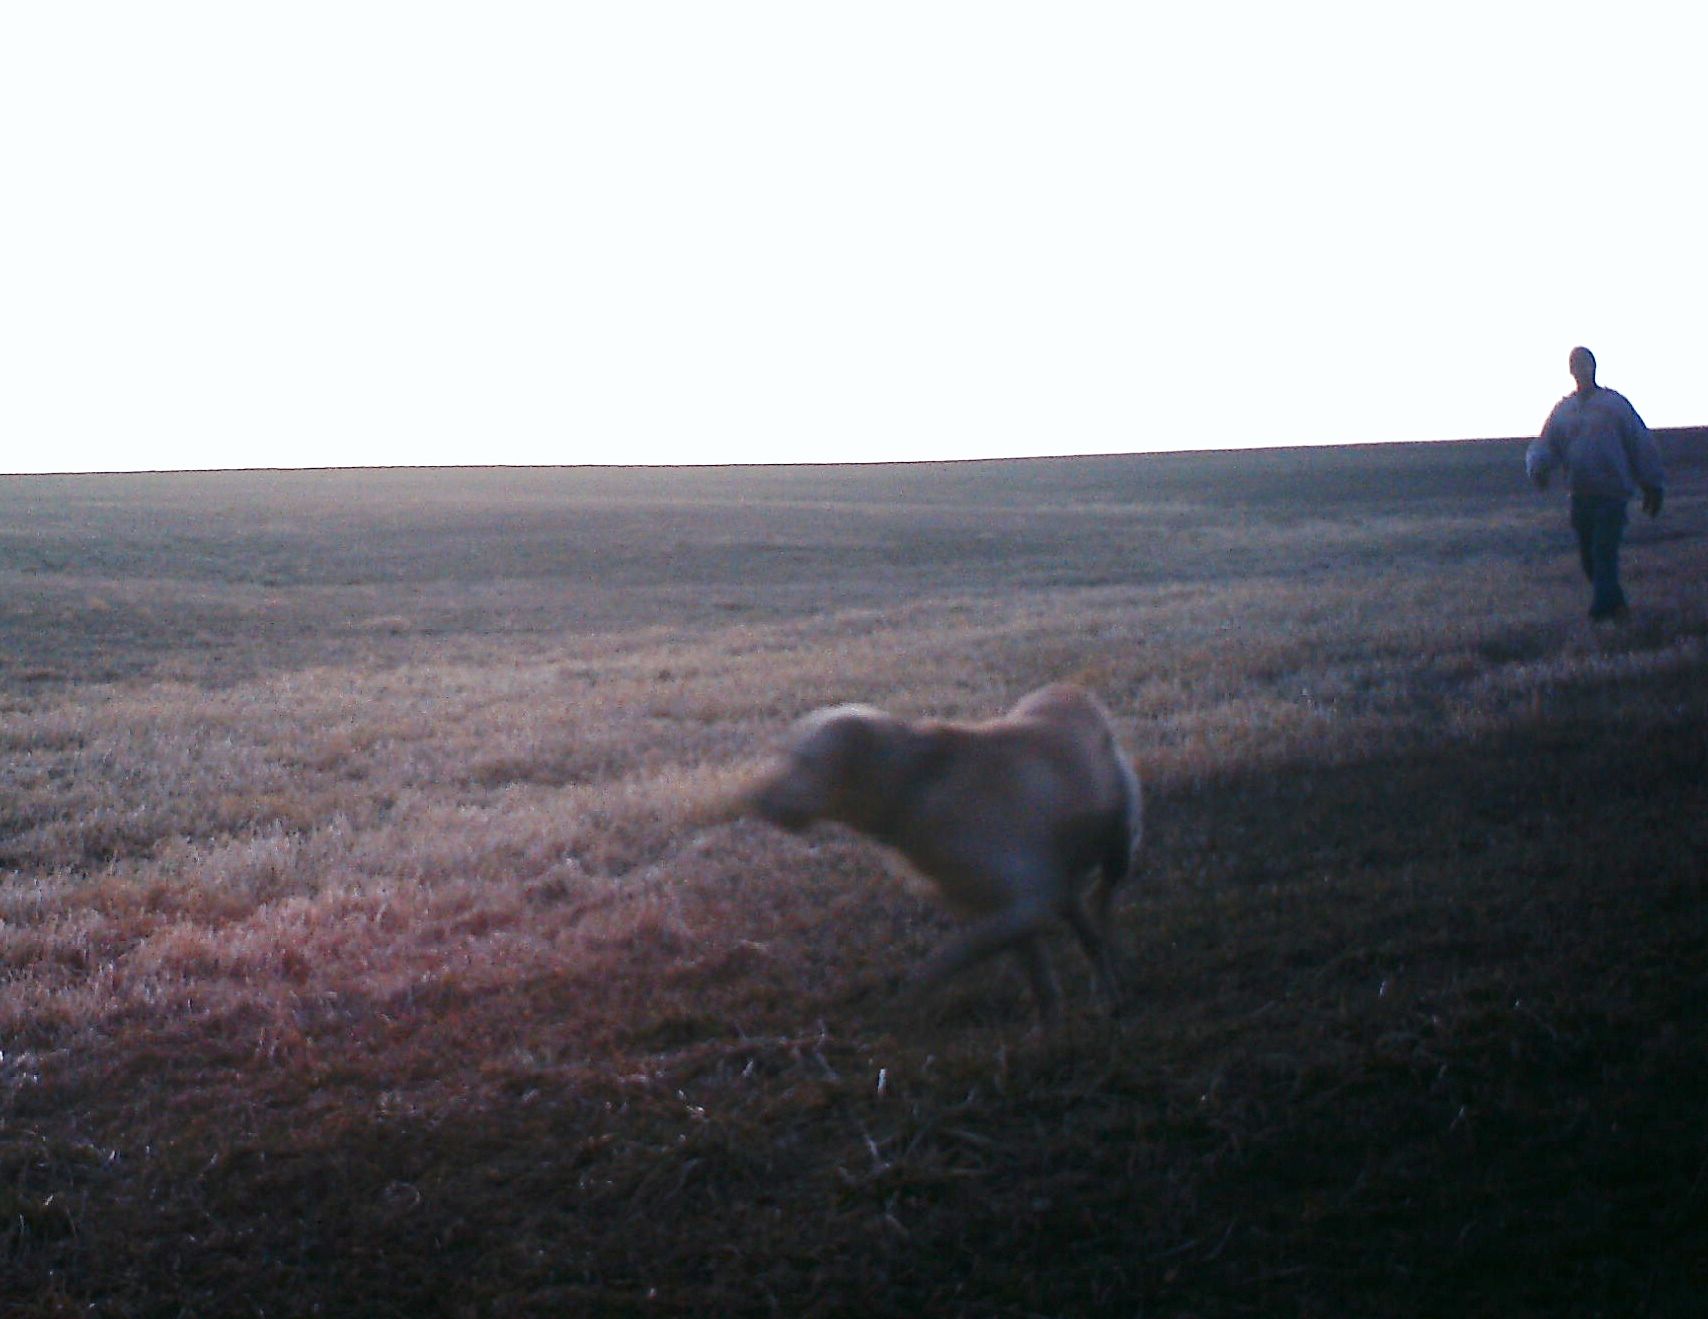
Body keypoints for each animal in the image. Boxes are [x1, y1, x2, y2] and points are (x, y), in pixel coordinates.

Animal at [751, 680, 1140, 1018]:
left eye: (804, 761)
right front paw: (1050, 1031)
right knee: (1088, 930)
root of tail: (1073, 692)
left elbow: (949, 958)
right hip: (1067, 884)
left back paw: (1111, 976)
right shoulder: (1007, 909)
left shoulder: (1026, 904)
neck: (916, 785)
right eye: (782, 755)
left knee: (1101, 909)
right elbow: (1038, 978)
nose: (757, 799)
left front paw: (907, 1001)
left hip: (1117, 849)